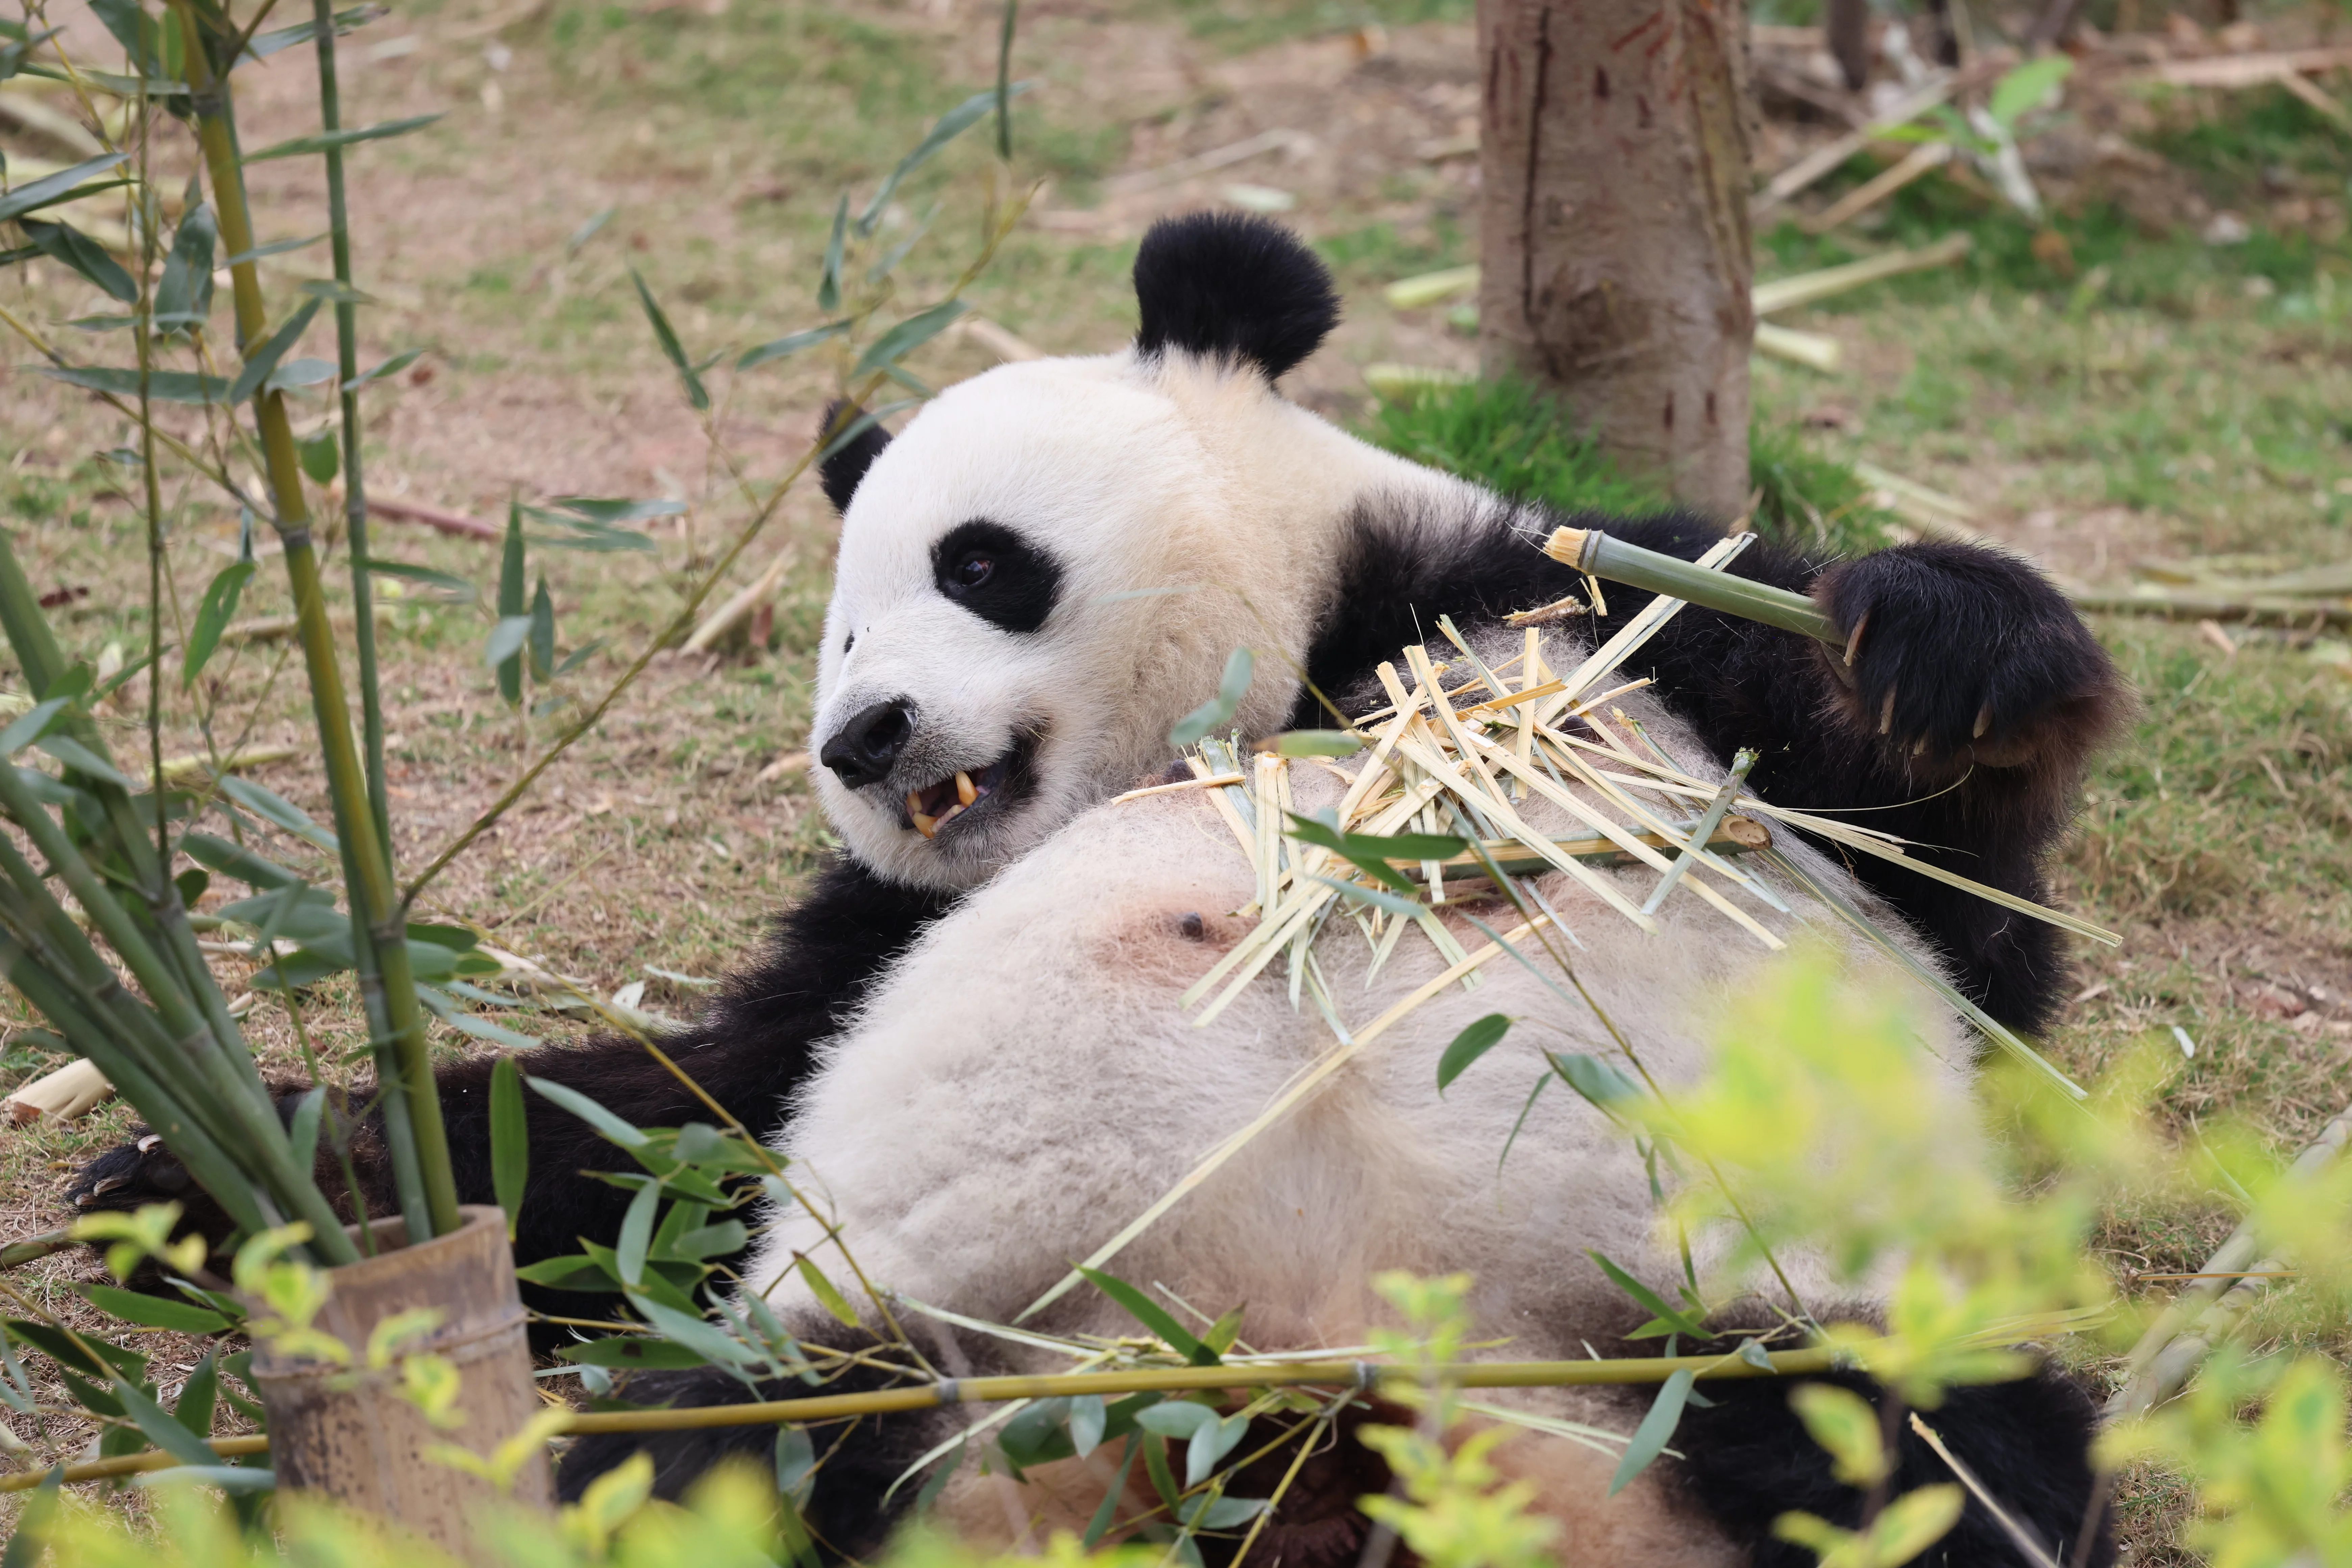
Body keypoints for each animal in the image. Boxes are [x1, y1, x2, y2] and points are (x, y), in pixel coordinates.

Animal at [74, 214, 2123, 1566]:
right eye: (831, 635)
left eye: (979, 563)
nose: (867, 738)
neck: (1279, 685)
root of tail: (1304, 1406)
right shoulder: (875, 933)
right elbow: (666, 1122)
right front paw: (212, 1178)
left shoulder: (1558, 616)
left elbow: (1953, 893)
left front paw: (1937, 650)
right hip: (880, 1363)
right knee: (705, 1461)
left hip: (1721, 1327)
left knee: (1920, 1462)